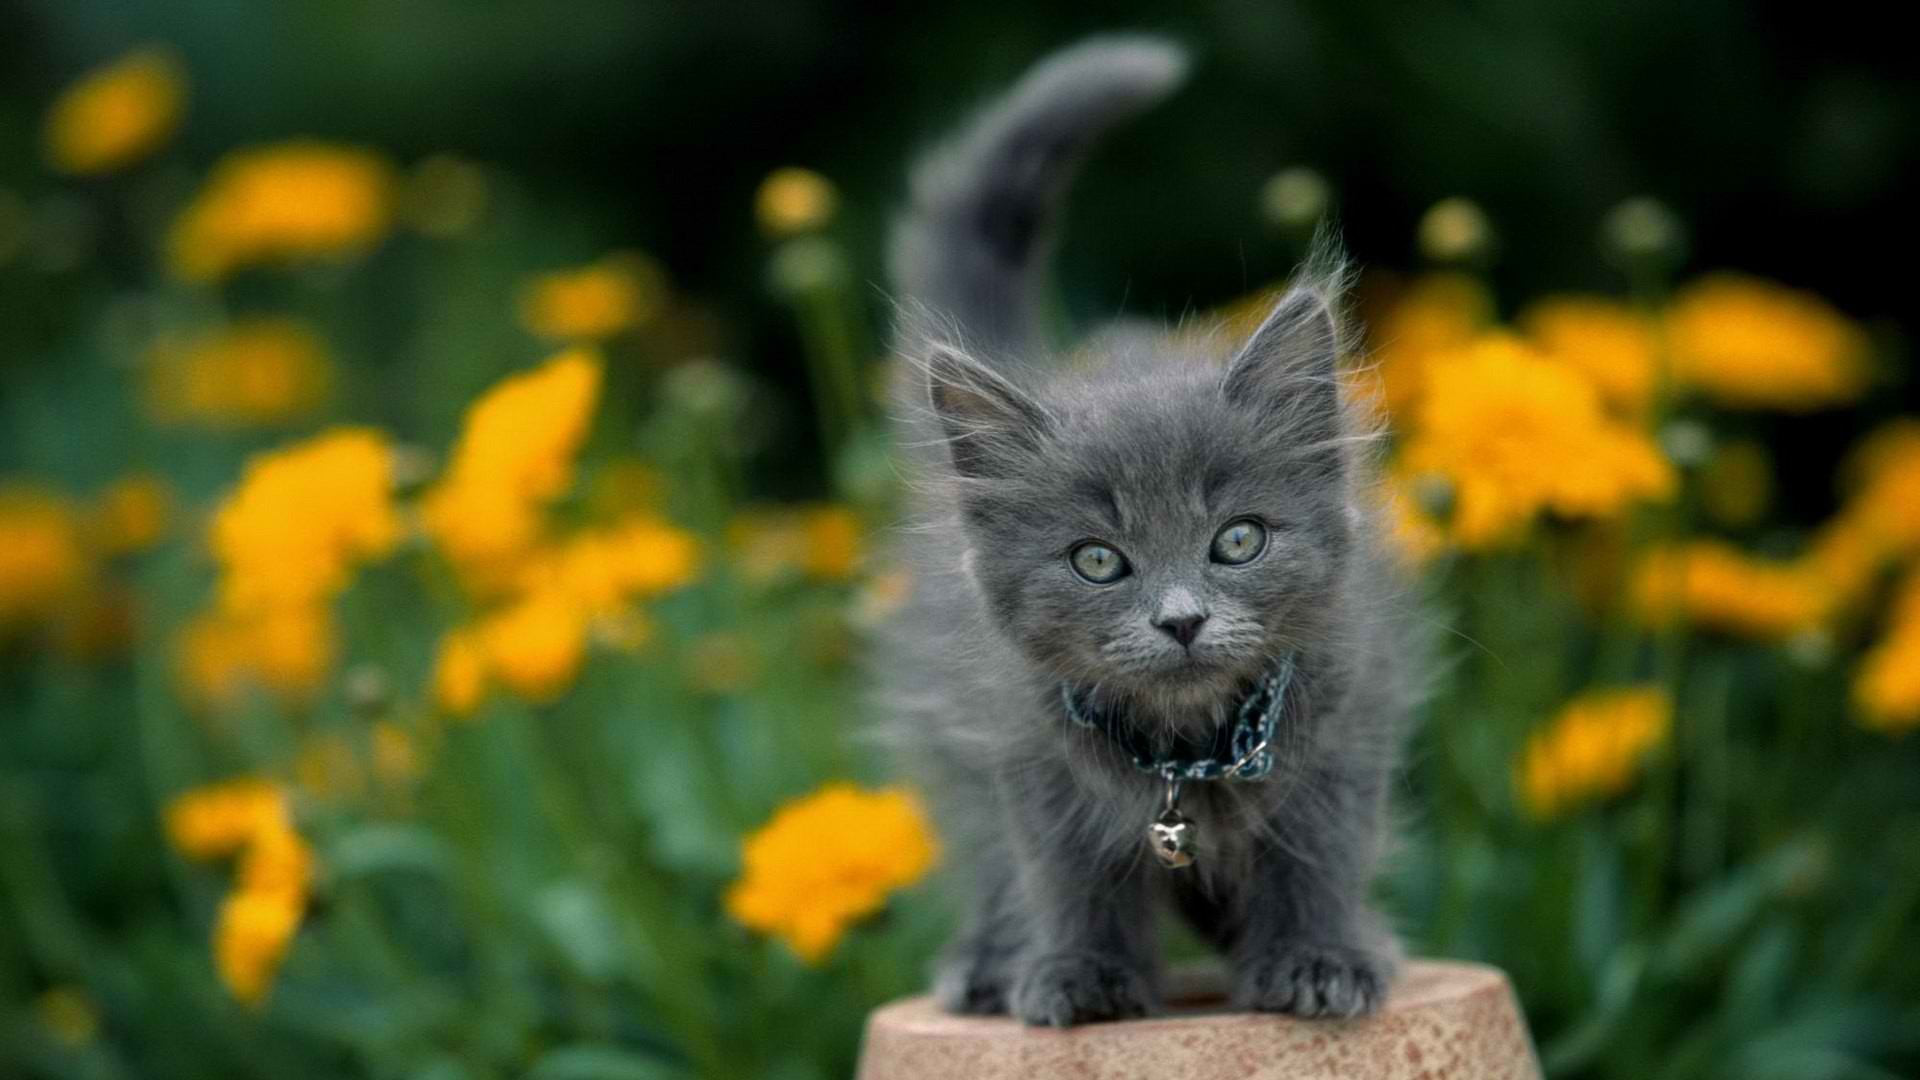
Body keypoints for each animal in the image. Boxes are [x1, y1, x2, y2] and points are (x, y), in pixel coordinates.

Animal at [879, 35, 1420, 1022]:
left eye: (1238, 541)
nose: (1182, 619)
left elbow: (1318, 862)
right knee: (989, 858)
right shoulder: (1025, 751)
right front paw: (1079, 974)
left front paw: (1320, 957)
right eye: (1097, 560)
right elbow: (1068, 877)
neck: (1189, 747)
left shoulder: (1348, 723)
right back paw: (988, 962)